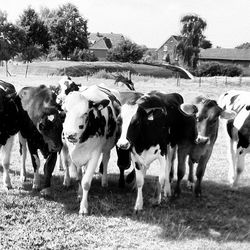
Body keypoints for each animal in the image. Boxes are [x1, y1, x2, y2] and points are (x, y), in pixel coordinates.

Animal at [62, 85, 121, 214]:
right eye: (65, 111)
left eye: (85, 113)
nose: (70, 135)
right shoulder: (68, 148)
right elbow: (78, 175)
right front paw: (79, 193)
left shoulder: (95, 154)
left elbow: (85, 182)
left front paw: (84, 207)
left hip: (107, 146)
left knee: (106, 159)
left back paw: (104, 181)